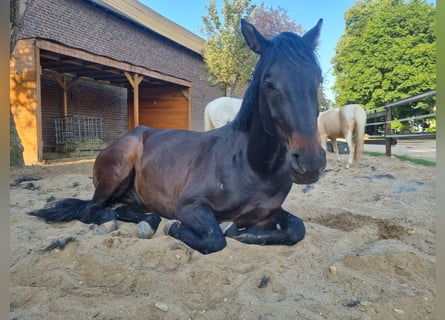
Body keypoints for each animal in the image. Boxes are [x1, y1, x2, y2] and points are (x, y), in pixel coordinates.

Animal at [28, 18, 326, 255]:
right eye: (268, 83)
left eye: (318, 79)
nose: (310, 162)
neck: (252, 167)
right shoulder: (189, 206)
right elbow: (215, 239)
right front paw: (179, 228)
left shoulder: (269, 213)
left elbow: (296, 229)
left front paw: (243, 233)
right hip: (117, 171)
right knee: (93, 210)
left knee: (123, 209)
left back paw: (147, 221)